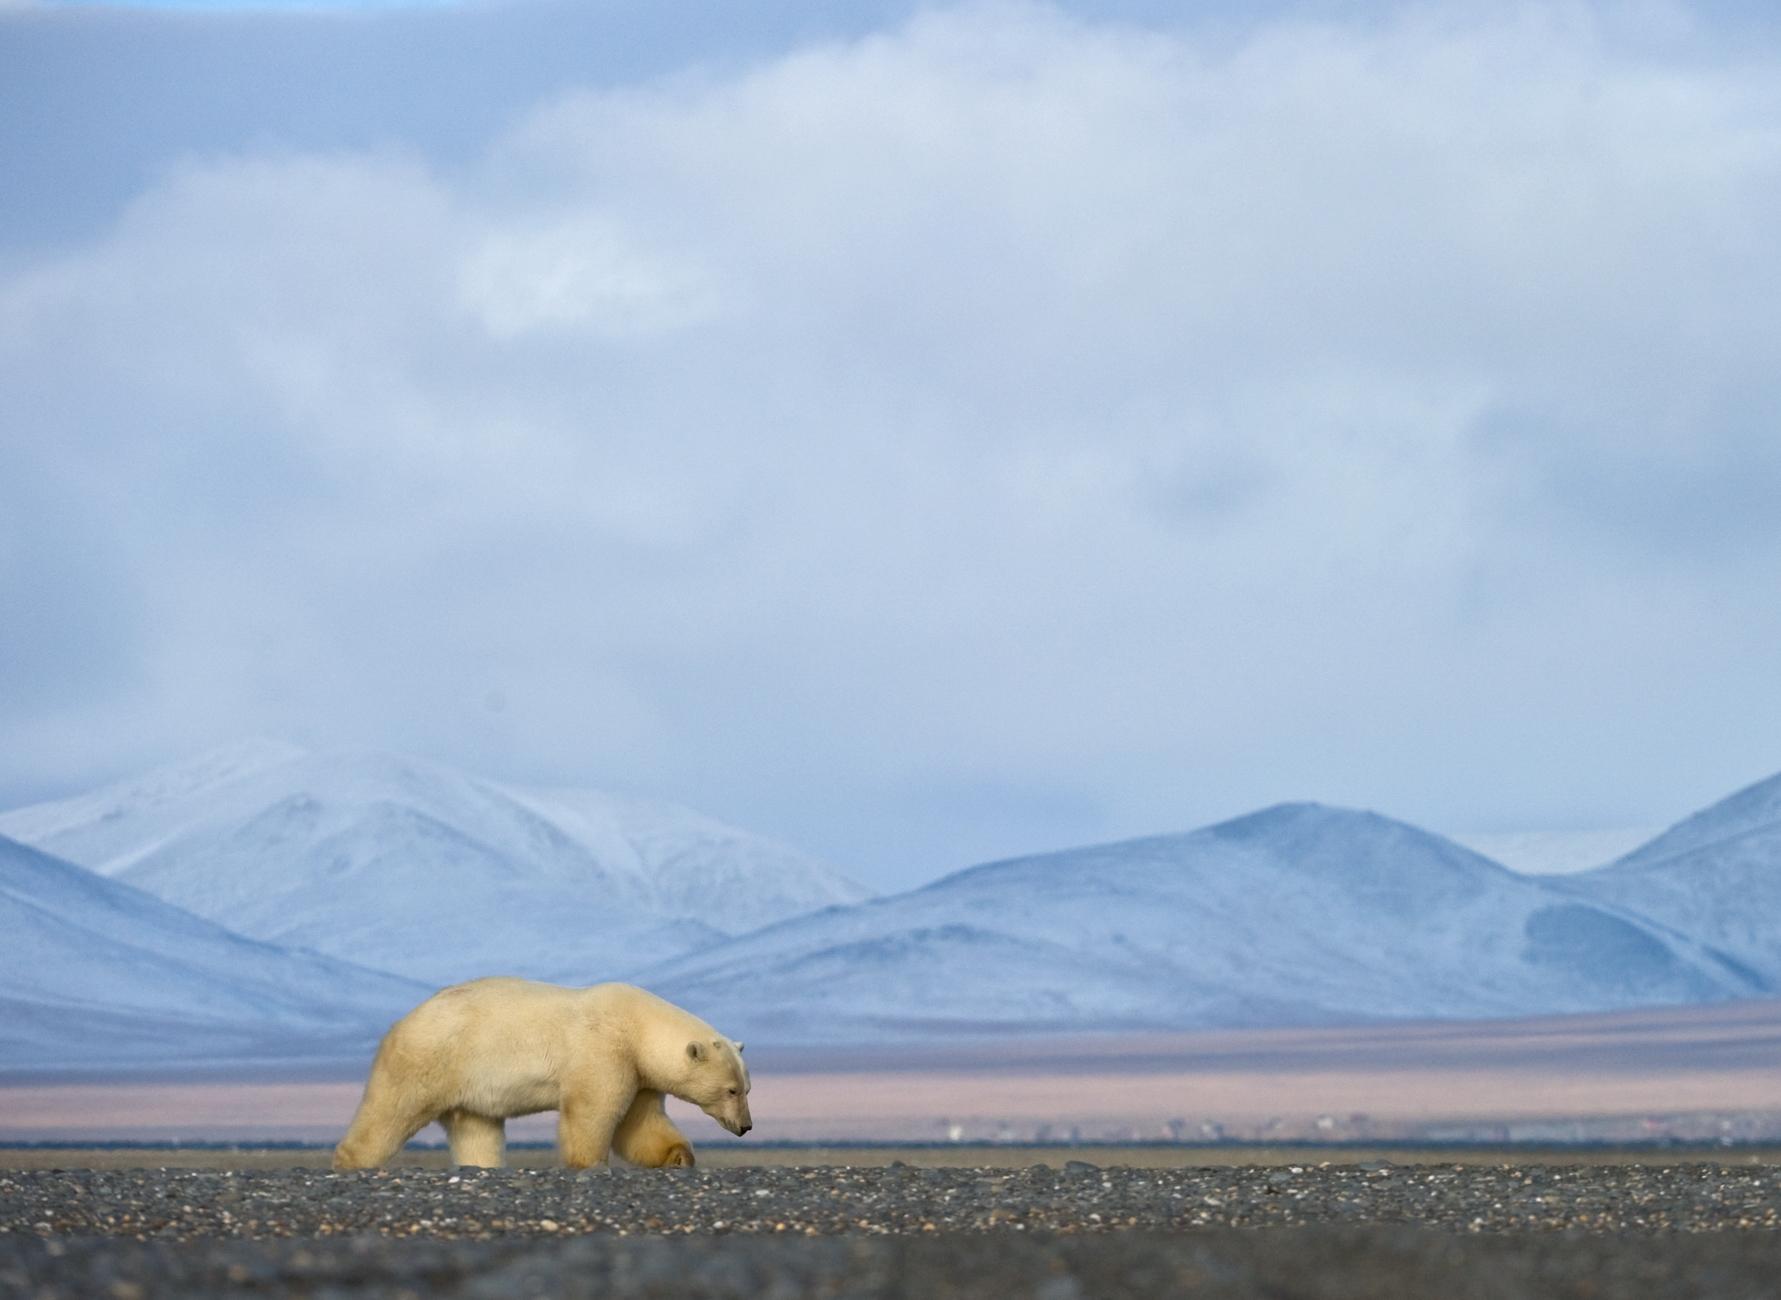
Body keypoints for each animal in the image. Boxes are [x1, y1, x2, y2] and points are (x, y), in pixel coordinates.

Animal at [334, 975, 751, 1168]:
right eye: (731, 1090)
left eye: (746, 1088)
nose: (746, 1126)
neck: (638, 1028)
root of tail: (402, 1021)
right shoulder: (604, 1053)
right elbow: (593, 1111)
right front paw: (589, 1163)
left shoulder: (639, 1073)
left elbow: (640, 1123)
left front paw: (679, 1157)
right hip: (429, 1059)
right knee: (390, 1111)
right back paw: (352, 1161)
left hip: (468, 1088)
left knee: (477, 1131)